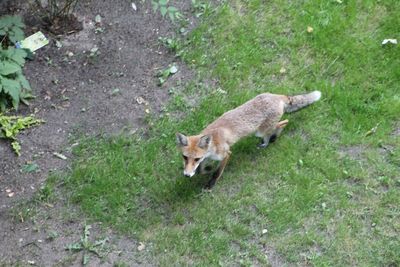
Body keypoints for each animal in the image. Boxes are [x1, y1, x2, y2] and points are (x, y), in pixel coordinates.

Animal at [176, 91, 322, 189]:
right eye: (185, 157)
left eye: (195, 159)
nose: (186, 175)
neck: (214, 142)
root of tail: (276, 96)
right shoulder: (206, 157)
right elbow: (201, 170)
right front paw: (207, 169)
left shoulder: (226, 154)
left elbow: (217, 172)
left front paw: (211, 183)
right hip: (261, 129)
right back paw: (269, 141)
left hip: (260, 131)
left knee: (283, 123)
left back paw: (271, 139)